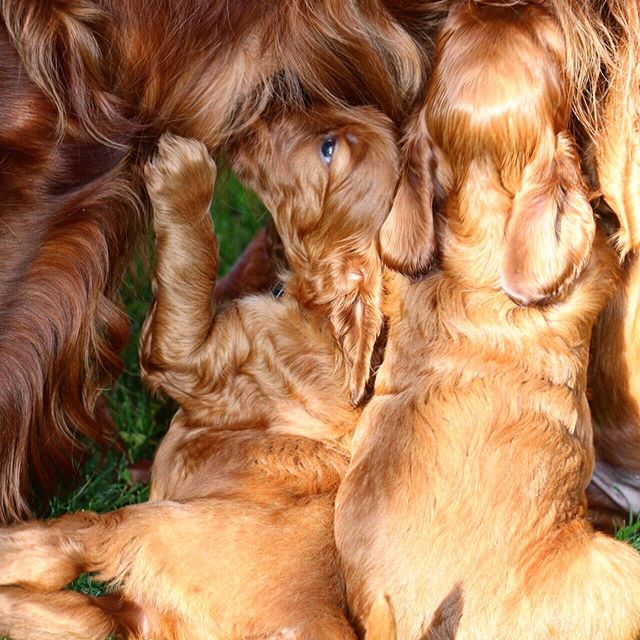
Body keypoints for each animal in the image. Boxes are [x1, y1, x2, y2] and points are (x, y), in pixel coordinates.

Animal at [0, 106, 400, 640]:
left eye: (328, 149)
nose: (264, 112)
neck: (322, 320)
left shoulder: (191, 360)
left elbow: (192, 266)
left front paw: (184, 170)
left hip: (153, 525)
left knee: (69, 540)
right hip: (123, 611)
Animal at [336, 2, 640, 636]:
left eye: (450, 34)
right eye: (551, 43)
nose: (488, 2)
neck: (481, 221)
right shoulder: (597, 264)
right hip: (622, 567)